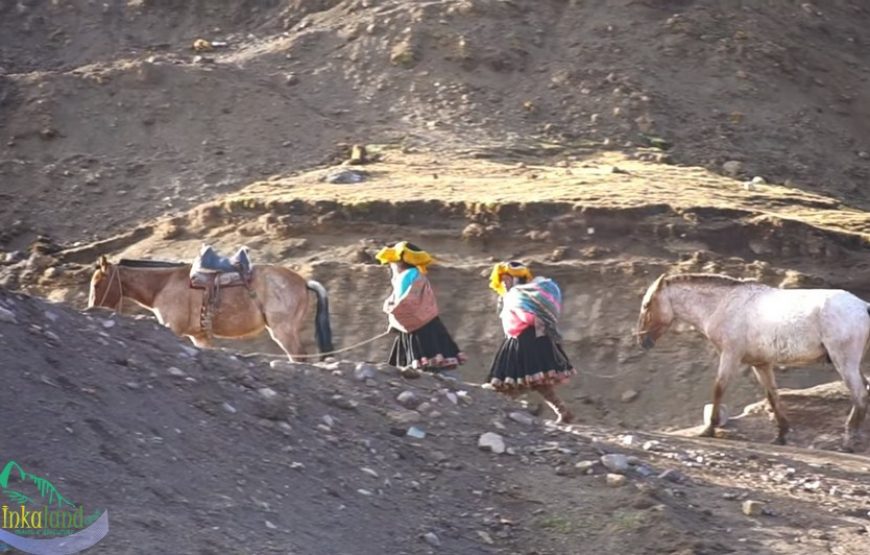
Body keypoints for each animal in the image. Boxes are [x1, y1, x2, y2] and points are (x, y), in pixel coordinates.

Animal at [87, 256, 334, 360]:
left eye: (97, 284)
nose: (91, 310)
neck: (164, 284)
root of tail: (304, 282)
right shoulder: (199, 336)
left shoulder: (172, 328)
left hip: (283, 331)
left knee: (299, 357)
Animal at [636, 274, 868, 452]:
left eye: (647, 305)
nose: (642, 340)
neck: (723, 304)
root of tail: (863, 306)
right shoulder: (761, 364)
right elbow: (772, 396)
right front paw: (781, 436)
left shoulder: (730, 355)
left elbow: (719, 388)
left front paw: (709, 429)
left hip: (844, 362)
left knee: (860, 395)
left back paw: (848, 442)